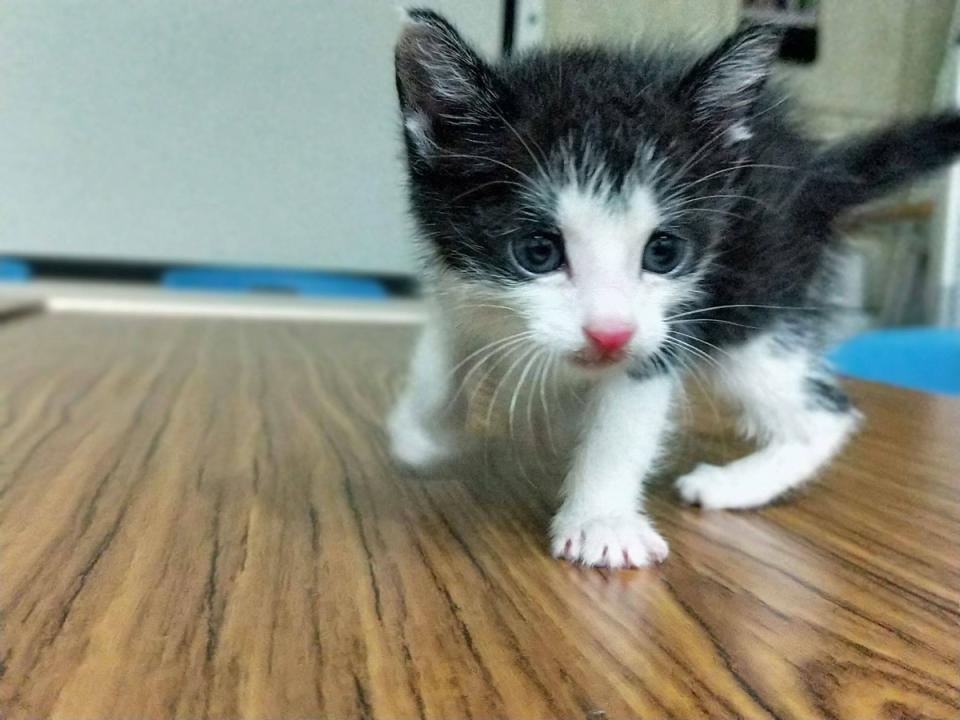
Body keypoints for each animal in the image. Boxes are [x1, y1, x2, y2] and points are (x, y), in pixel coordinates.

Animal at [386, 7, 960, 568]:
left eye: (663, 253)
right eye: (537, 251)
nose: (609, 334)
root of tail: (819, 173)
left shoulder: (667, 329)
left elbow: (624, 421)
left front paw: (602, 521)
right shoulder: (457, 275)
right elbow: (446, 343)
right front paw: (421, 429)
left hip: (752, 305)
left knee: (825, 413)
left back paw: (735, 483)